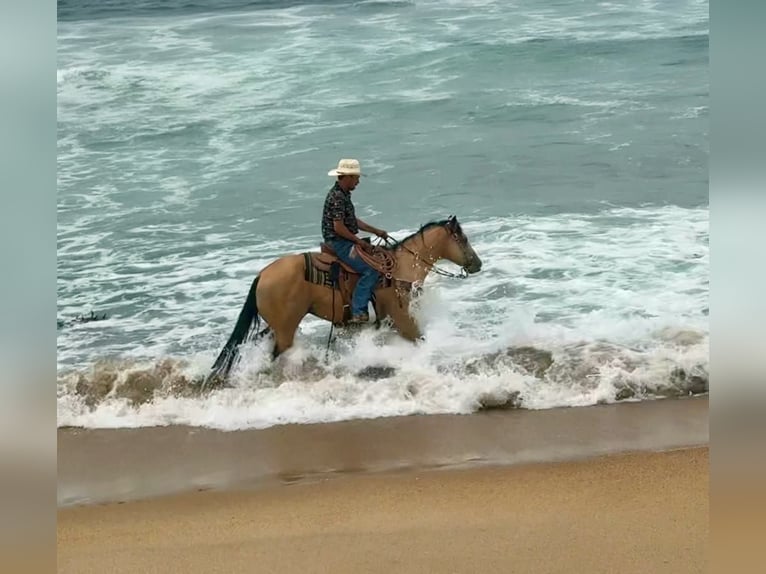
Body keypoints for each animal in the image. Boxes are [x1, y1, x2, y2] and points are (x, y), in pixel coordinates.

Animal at [205, 215, 482, 383]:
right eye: (463, 238)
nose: (477, 264)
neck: (400, 269)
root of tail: (262, 275)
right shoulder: (403, 320)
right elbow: (421, 340)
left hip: (274, 326)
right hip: (285, 330)